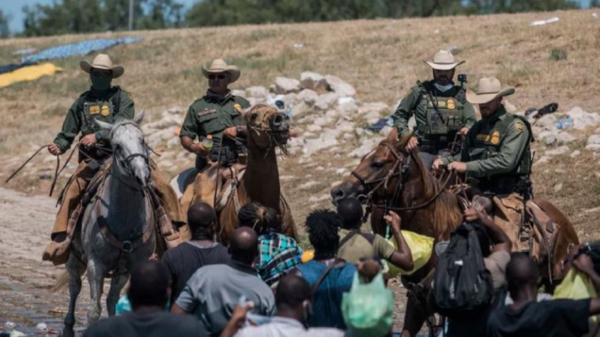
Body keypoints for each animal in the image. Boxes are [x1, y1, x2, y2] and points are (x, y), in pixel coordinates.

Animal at [62, 112, 157, 334]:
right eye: (117, 146)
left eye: (142, 140)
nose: (142, 175)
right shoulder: (95, 264)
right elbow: (93, 311)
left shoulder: (130, 267)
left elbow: (113, 301)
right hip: (73, 258)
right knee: (74, 287)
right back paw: (68, 327)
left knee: (110, 299)